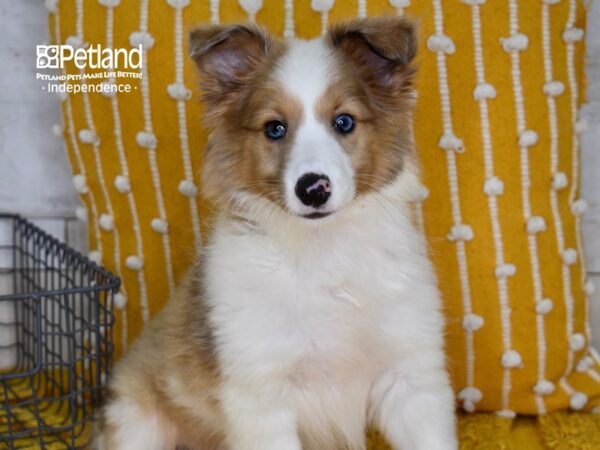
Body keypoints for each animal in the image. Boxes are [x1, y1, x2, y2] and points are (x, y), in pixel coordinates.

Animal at [96, 15, 458, 450]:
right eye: (274, 128)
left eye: (344, 122)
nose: (313, 188)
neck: (322, 249)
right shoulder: (261, 395)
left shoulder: (410, 378)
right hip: (137, 421)